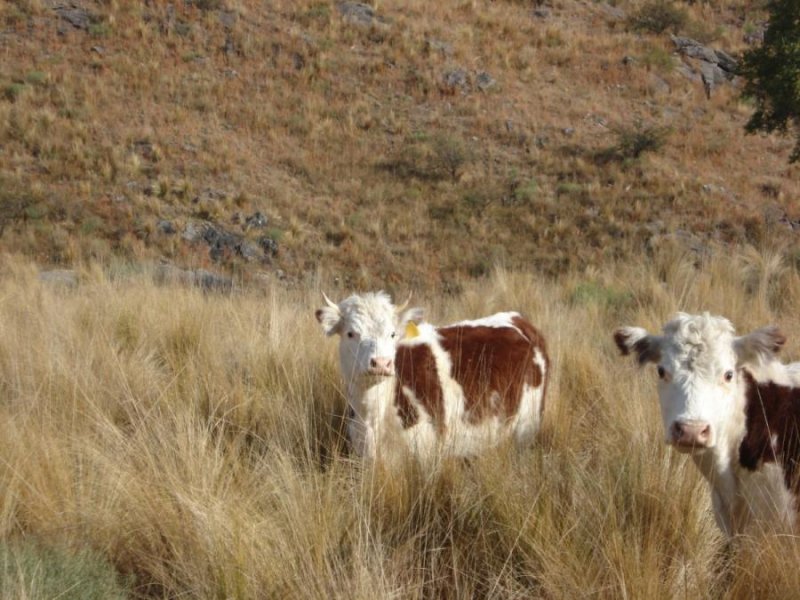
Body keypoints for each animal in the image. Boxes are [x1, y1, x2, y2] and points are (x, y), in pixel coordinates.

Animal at [314, 292, 552, 462]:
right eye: (351, 333)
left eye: (392, 333)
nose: (381, 363)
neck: (374, 415)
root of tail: (519, 320)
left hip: (526, 429)